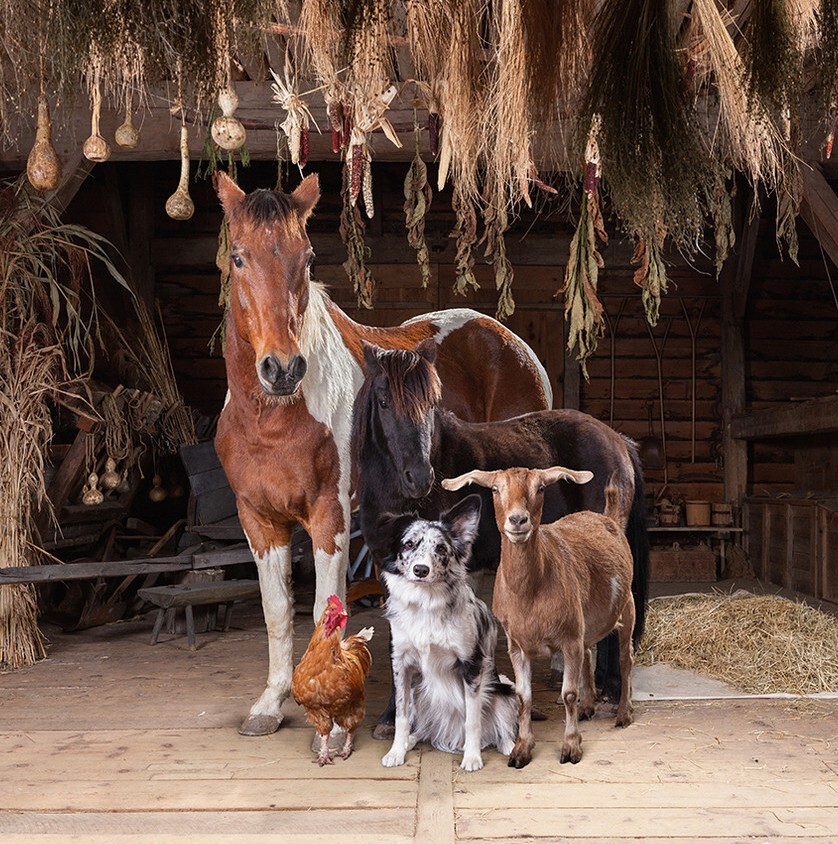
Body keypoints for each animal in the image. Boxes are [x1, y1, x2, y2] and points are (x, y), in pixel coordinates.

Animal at [213, 173, 552, 740]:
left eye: (307, 259)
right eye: (238, 257)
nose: (282, 368)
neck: (275, 417)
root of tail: (513, 344)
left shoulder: (329, 518)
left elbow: (324, 608)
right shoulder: (257, 520)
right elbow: (277, 610)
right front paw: (270, 704)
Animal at [442, 464, 632, 768]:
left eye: (541, 488)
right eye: (495, 489)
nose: (518, 520)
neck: (532, 591)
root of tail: (607, 517)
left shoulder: (569, 639)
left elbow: (568, 694)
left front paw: (571, 747)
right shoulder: (517, 645)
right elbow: (523, 697)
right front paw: (521, 749)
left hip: (627, 604)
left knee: (626, 658)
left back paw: (624, 713)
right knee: (590, 652)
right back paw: (588, 706)